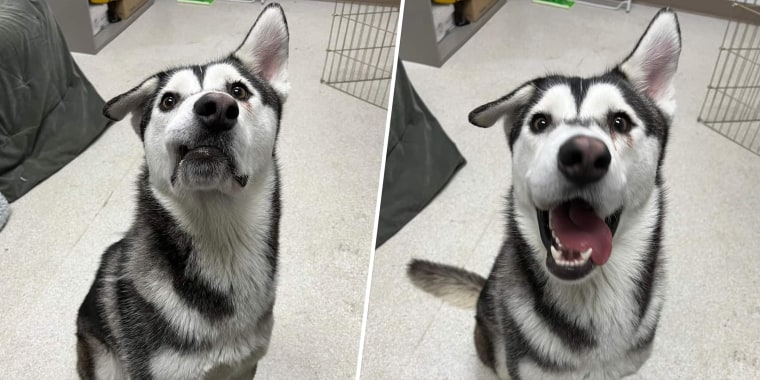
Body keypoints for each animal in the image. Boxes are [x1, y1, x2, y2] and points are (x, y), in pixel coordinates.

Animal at [75, 4, 288, 378]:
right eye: (169, 100)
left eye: (239, 91)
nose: (217, 108)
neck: (220, 235)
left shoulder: (246, 365)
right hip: (103, 359)